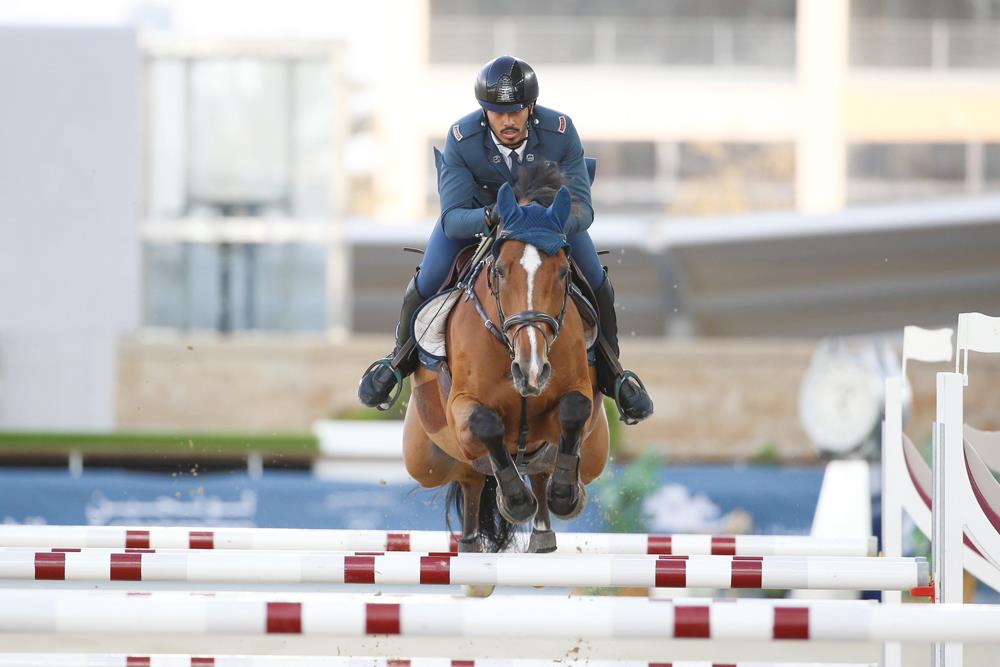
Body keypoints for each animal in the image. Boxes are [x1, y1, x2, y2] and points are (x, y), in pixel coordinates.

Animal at [400, 164, 608, 556]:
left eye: (564, 272)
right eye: (499, 271)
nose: (531, 369)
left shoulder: (574, 396)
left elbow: (574, 409)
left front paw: (564, 493)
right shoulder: (461, 406)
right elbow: (487, 423)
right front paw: (515, 501)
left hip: (595, 454)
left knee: (540, 469)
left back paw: (545, 525)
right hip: (424, 459)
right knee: (470, 477)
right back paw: (472, 541)